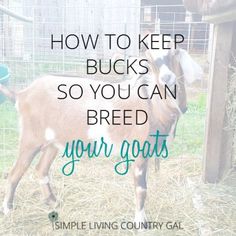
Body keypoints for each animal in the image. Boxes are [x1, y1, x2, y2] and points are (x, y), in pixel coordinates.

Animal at [0, 45, 203, 223]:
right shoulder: (138, 151)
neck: (153, 104)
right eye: (149, 57)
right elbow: (141, 188)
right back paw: (8, 209)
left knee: (41, 168)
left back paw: (53, 201)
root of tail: (21, 94)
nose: (167, 78)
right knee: (15, 172)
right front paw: (140, 222)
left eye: (174, 51)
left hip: (53, 141)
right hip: (30, 138)